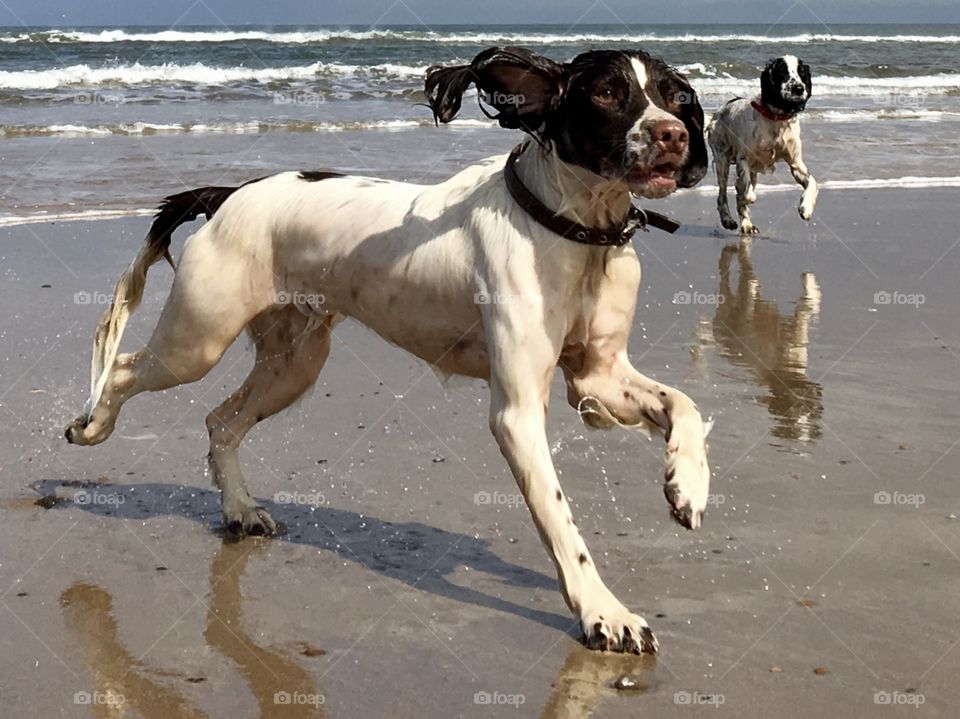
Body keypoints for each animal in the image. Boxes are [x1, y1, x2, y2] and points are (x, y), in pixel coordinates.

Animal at [704, 57, 816, 236]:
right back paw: (728, 220)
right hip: (722, 159)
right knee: (722, 194)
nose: (799, 89)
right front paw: (743, 197)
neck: (776, 119)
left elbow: (812, 182)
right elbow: (747, 194)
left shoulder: (796, 163)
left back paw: (747, 225)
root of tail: (718, 112)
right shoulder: (743, 160)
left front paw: (806, 208)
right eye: (782, 72)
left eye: (802, 73)